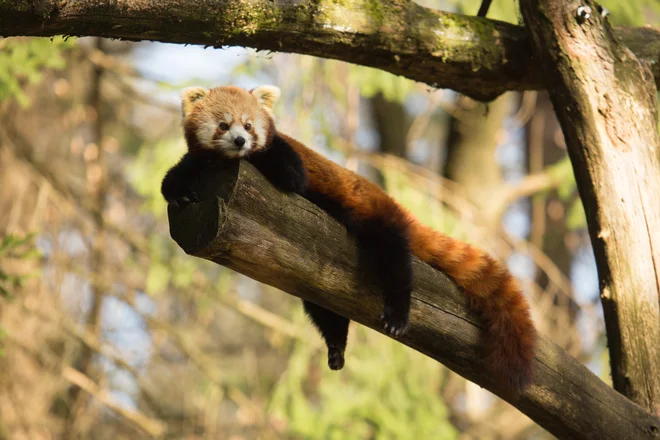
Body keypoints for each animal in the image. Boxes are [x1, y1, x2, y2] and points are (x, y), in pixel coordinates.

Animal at [162, 84, 540, 390]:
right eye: (224, 125)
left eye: (249, 125)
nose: (240, 141)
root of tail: (388, 199)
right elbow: (180, 173)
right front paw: (179, 190)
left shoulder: (285, 156)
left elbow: (289, 175)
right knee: (324, 310)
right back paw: (336, 347)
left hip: (377, 220)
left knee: (396, 261)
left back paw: (398, 312)